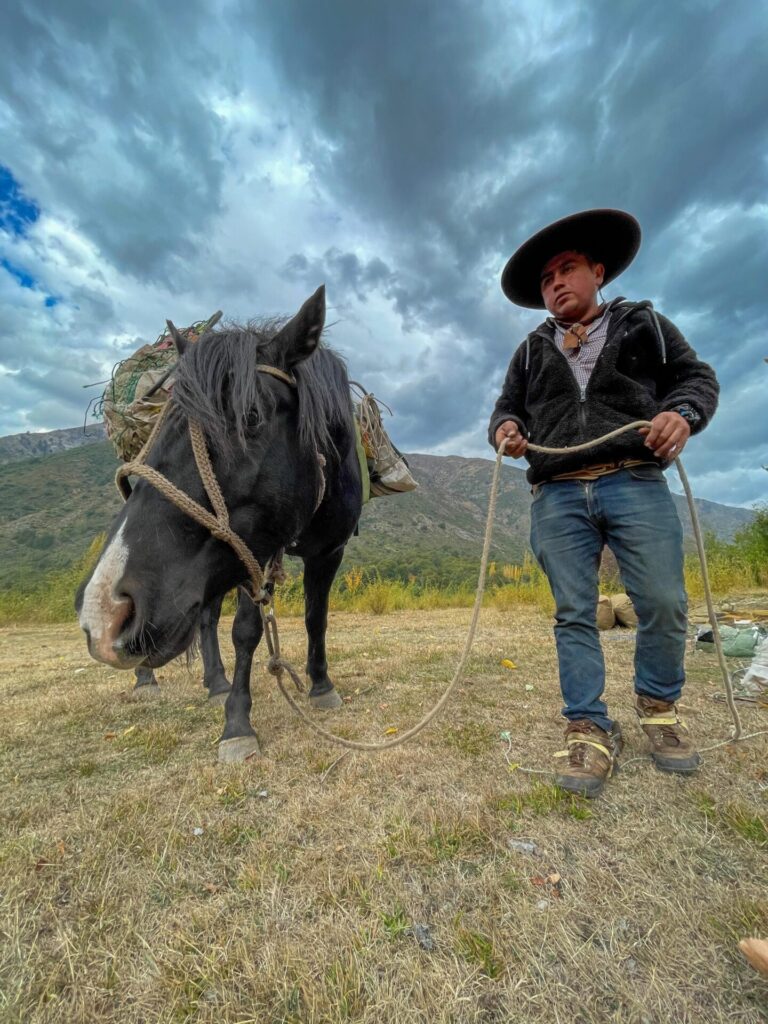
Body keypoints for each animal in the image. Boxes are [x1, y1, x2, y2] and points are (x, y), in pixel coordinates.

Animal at [76, 288, 364, 761]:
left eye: (251, 417)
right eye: (162, 426)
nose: (104, 613)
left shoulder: (327, 550)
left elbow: (315, 617)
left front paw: (321, 686)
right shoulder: (255, 553)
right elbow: (245, 631)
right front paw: (237, 724)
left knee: (206, 617)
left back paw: (216, 681)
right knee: (207, 621)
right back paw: (154, 682)